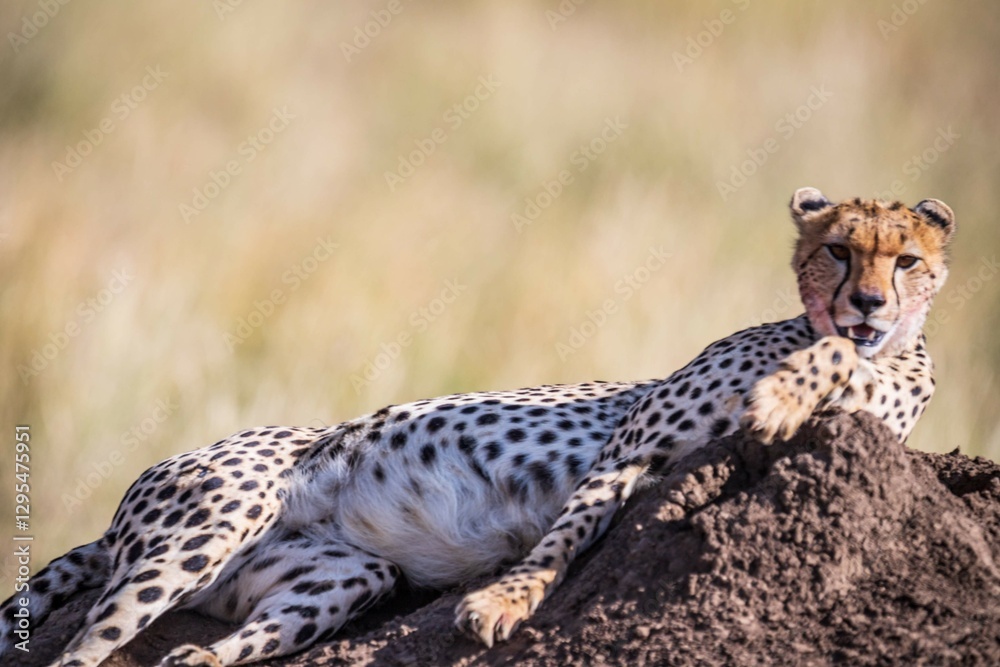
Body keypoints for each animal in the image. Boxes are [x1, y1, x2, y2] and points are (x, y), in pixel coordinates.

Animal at [0, 187, 954, 666]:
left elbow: (837, 373)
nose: (869, 304)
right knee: (81, 651)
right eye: (838, 250)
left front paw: (794, 392)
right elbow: (563, 536)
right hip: (209, 526)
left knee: (182, 652)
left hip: (345, 579)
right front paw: (499, 605)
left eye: (907, 259)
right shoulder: (635, 440)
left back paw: (199, 657)